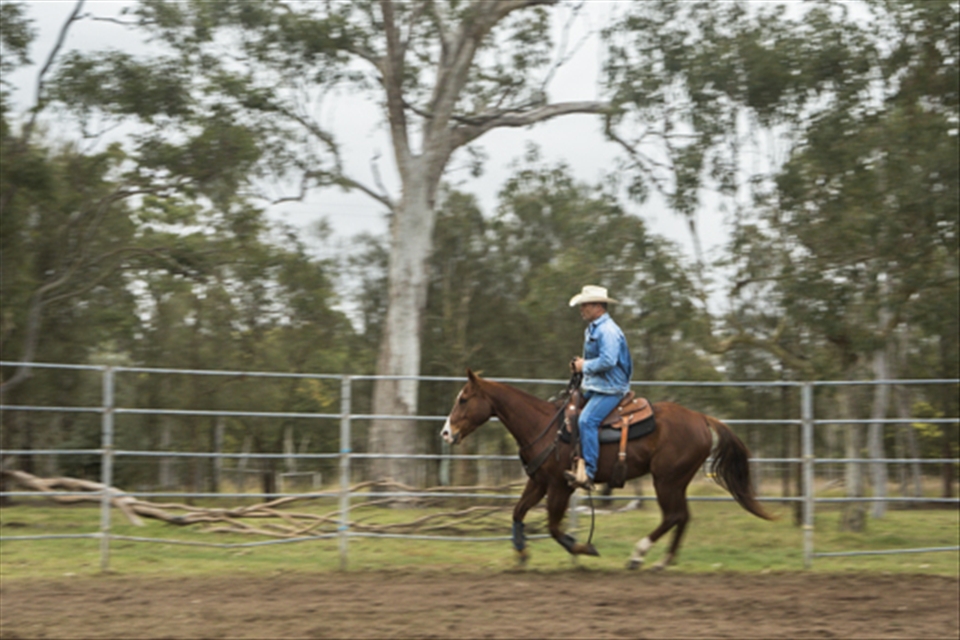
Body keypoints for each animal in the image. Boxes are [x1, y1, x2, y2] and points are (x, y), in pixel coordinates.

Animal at [440, 369, 774, 569]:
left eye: (464, 399)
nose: (445, 433)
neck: (543, 426)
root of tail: (702, 418)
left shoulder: (560, 486)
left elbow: (553, 526)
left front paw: (583, 549)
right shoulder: (538, 482)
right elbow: (518, 512)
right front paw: (521, 553)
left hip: (667, 480)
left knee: (674, 515)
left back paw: (638, 555)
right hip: (676, 481)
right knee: (683, 516)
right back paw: (663, 561)